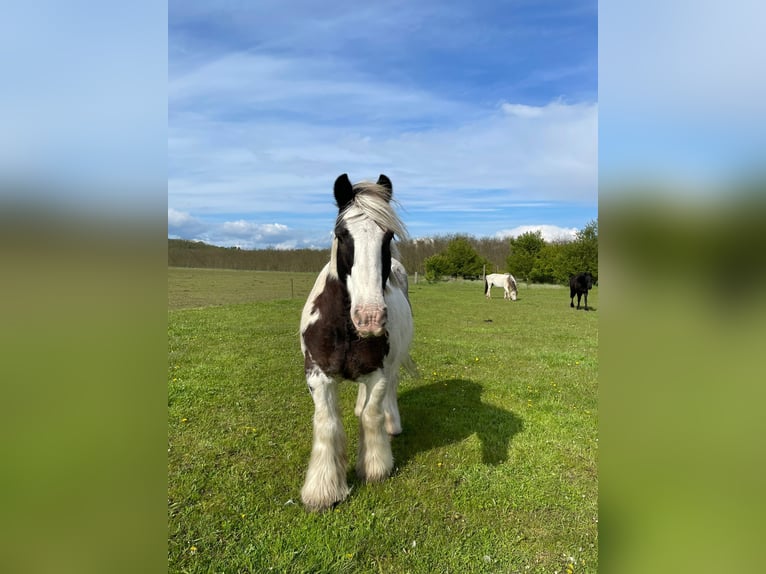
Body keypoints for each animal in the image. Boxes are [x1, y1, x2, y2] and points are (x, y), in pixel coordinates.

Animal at [298, 172, 414, 512]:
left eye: (388, 236)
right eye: (342, 233)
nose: (370, 318)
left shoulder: (378, 373)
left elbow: (372, 415)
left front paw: (376, 467)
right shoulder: (317, 376)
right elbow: (327, 424)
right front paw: (323, 490)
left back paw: (393, 424)